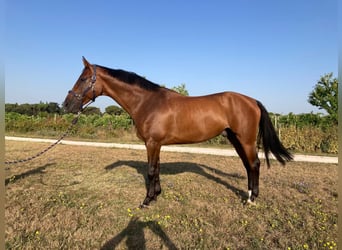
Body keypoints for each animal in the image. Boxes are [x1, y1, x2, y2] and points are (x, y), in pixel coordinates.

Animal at [62, 57, 292, 206]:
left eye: (82, 79)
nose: (66, 105)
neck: (147, 102)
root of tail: (252, 100)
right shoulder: (156, 144)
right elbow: (157, 169)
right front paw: (156, 195)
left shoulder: (152, 143)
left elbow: (151, 170)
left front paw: (147, 200)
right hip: (236, 140)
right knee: (248, 165)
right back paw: (249, 194)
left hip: (246, 140)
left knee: (254, 164)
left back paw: (251, 199)